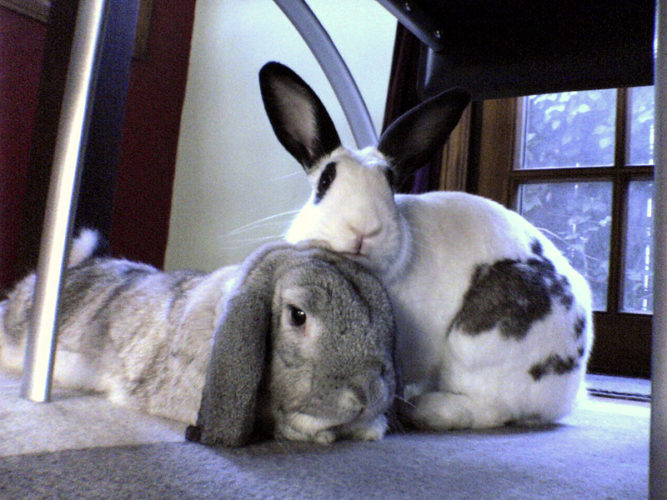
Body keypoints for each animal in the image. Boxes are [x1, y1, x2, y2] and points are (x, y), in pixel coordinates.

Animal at [258, 61, 594, 431]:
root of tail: (568, 392)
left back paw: (425, 410)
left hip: (481, 343)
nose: (364, 229)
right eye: (325, 181)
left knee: (492, 409)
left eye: (390, 184)